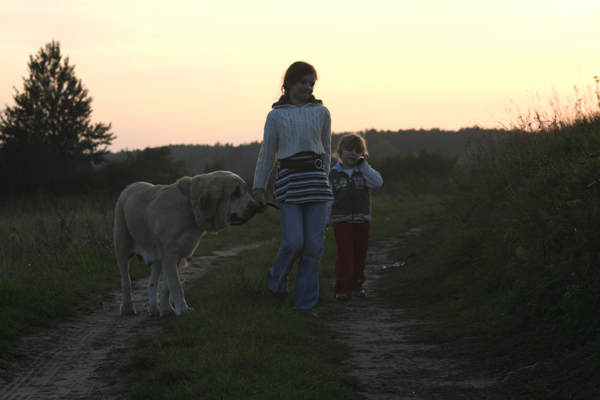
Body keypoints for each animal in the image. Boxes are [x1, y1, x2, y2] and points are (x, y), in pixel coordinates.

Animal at [115, 170, 260, 318]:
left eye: (245, 190)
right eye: (235, 193)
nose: (256, 207)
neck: (190, 204)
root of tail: (128, 187)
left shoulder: (178, 254)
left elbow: (167, 287)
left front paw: (166, 308)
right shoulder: (169, 253)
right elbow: (176, 284)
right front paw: (183, 309)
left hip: (157, 257)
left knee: (151, 282)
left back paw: (154, 308)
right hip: (122, 248)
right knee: (126, 281)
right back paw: (127, 307)